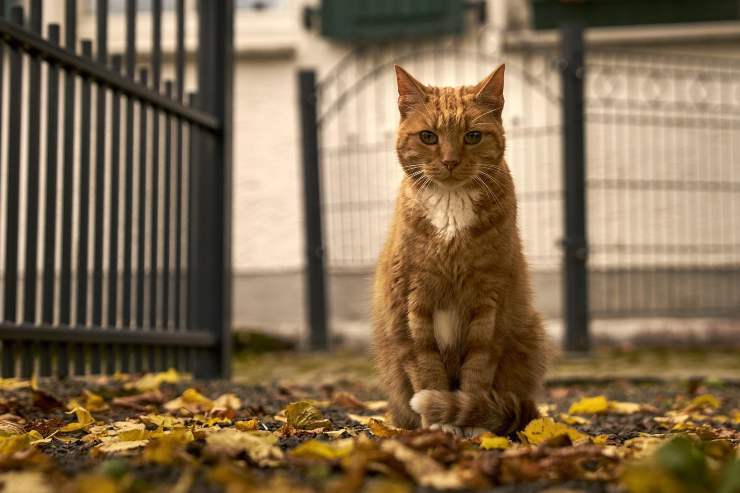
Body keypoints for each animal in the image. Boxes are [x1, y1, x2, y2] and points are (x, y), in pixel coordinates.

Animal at [370, 63, 548, 436]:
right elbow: (427, 370)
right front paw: (440, 423)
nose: (450, 161)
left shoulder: (489, 305)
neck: (451, 208)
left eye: (472, 136)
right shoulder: (413, 303)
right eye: (428, 137)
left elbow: (477, 373)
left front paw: (474, 423)